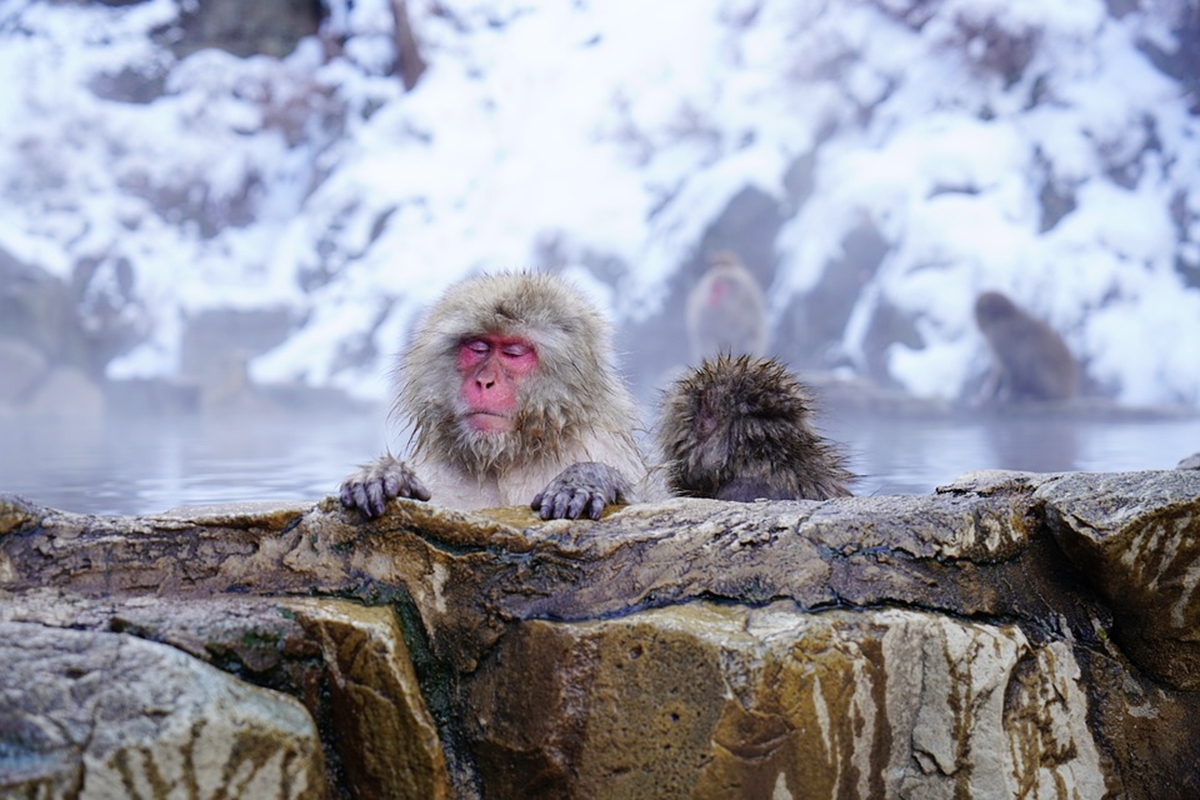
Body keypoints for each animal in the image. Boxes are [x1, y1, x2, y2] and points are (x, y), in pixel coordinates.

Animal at [343, 272, 652, 522]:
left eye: (514, 351)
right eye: (478, 347)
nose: (485, 382)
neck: (506, 458)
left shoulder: (601, 445)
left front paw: (585, 480)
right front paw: (386, 475)